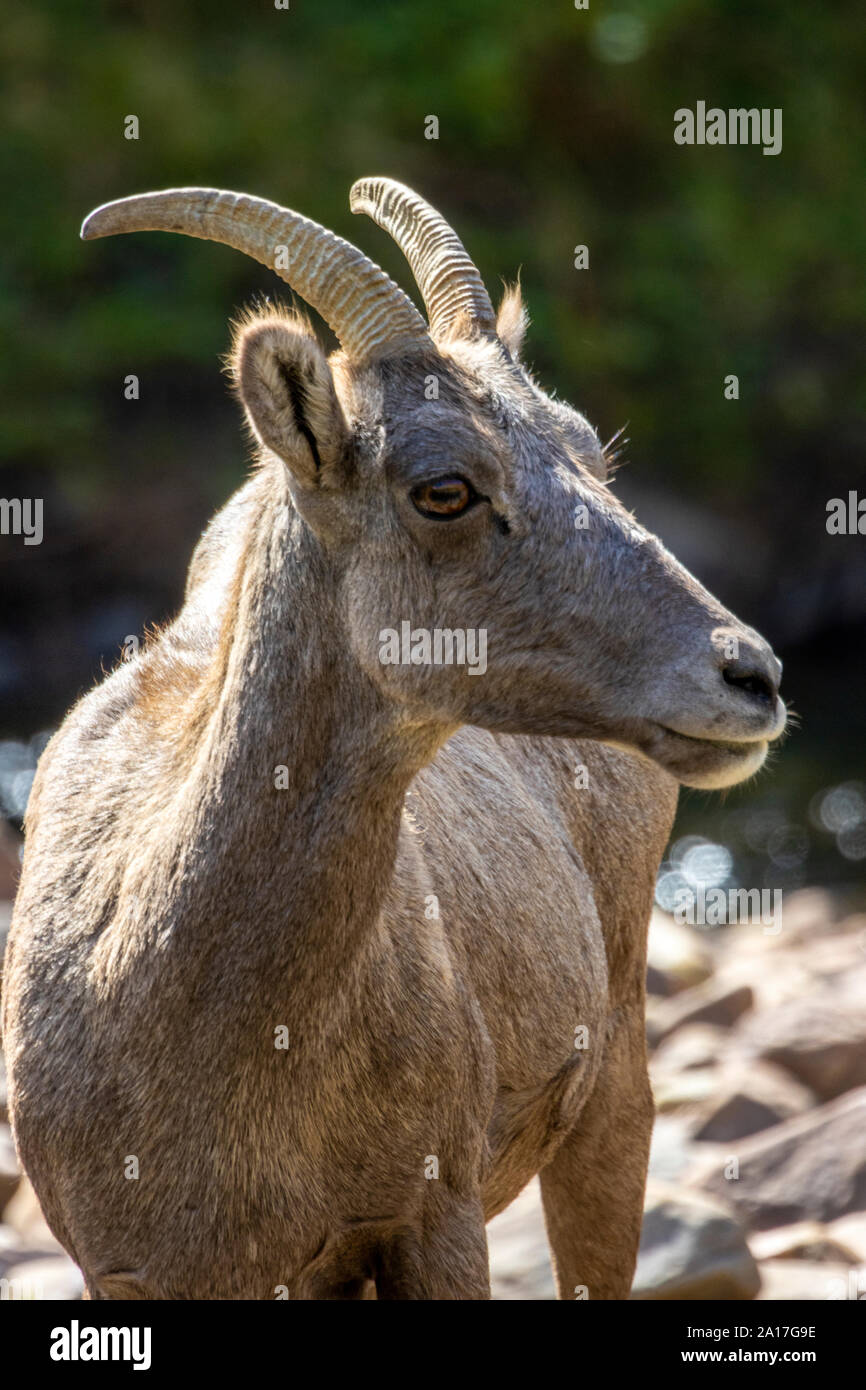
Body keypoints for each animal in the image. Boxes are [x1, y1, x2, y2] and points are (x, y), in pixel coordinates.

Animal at [0, 179, 783, 1295]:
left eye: (591, 452)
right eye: (443, 488)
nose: (747, 674)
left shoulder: (429, 1215)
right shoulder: (136, 1270)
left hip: (615, 1086)